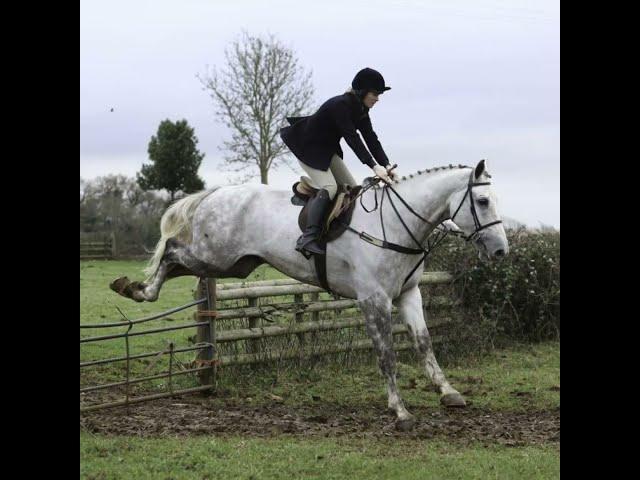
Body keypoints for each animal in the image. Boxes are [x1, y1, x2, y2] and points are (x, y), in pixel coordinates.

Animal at [111, 159, 510, 430]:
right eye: (483, 201)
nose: (500, 252)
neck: (400, 224)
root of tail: (217, 192)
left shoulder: (409, 294)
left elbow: (425, 345)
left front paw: (449, 392)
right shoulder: (373, 300)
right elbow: (387, 355)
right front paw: (400, 410)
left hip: (231, 265)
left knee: (179, 260)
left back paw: (135, 288)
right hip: (214, 255)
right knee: (172, 250)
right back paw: (137, 289)